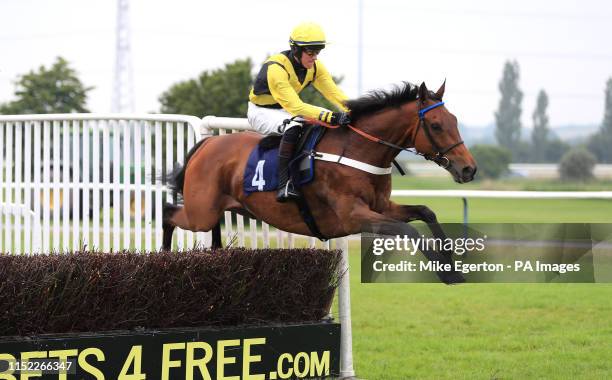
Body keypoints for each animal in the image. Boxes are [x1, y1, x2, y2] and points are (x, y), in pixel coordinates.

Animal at [164, 82, 478, 284]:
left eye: (455, 120)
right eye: (436, 125)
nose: (469, 169)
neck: (358, 150)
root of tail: (207, 144)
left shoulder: (381, 207)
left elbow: (426, 211)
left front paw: (451, 260)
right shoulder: (353, 216)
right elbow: (409, 231)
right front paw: (446, 272)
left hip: (215, 209)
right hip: (201, 212)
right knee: (169, 213)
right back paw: (164, 259)